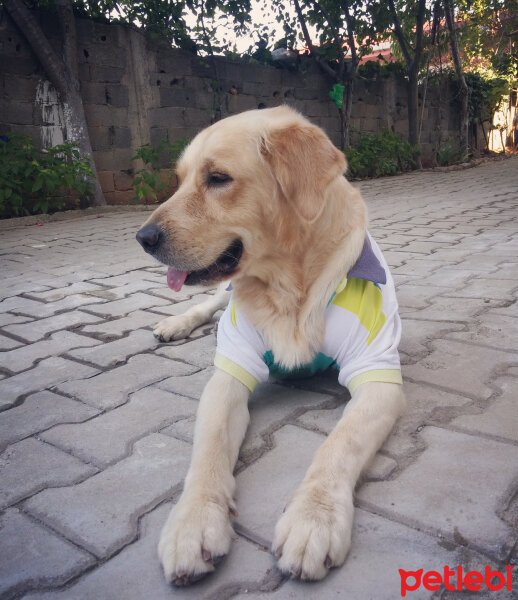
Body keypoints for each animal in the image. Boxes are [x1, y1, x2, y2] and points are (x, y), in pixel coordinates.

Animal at [137, 105, 406, 584]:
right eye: (180, 179)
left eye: (218, 178)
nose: (144, 238)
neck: (288, 283)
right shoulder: (228, 374)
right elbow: (207, 452)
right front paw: (193, 522)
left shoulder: (379, 376)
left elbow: (338, 445)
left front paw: (313, 519)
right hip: (220, 297)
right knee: (211, 301)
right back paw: (176, 323)